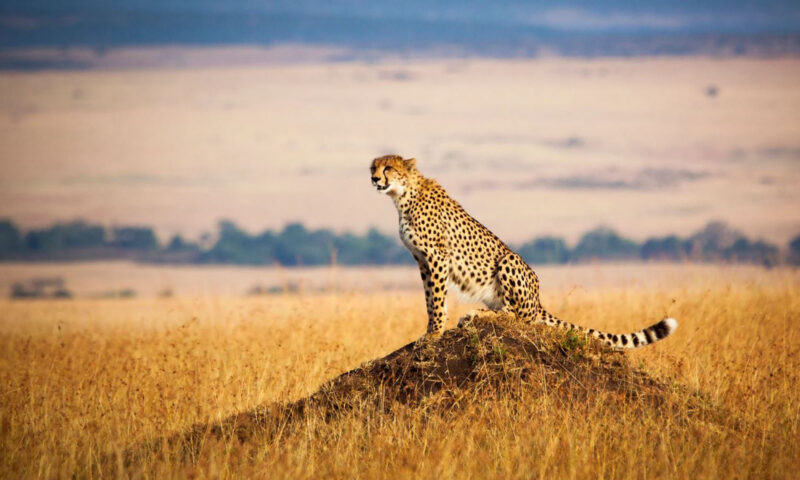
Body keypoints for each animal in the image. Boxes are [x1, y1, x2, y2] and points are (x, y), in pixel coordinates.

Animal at [370, 154, 678, 349]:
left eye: (388, 167)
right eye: (373, 167)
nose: (374, 179)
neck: (402, 195)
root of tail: (538, 300)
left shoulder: (436, 257)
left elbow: (436, 299)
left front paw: (434, 334)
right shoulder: (422, 260)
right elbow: (430, 299)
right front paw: (432, 329)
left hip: (509, 260)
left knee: (518, 315)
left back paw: (476, 314)